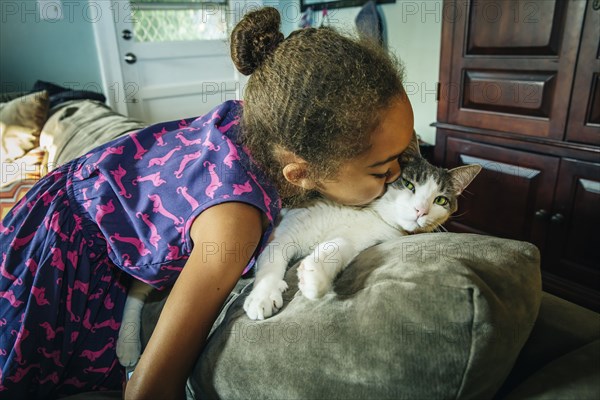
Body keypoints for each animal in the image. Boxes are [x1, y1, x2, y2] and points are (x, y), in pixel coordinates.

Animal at [241, 139, 480, 320]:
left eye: (440, 200)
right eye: (409, 184)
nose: (421, 210)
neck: (370, 212)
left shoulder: (360, 238)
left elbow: (338, 247)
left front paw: (315, 277)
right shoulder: (287, 228)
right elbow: (273, 257)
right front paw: (263, 295)